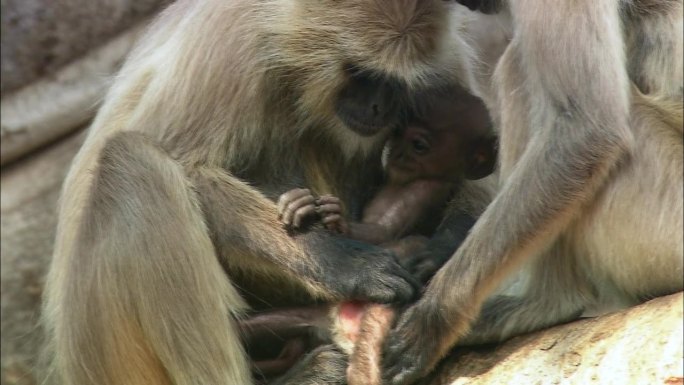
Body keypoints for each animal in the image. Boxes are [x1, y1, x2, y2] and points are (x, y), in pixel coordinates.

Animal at [276, 87, 494, 384]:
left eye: (419, 146)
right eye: (397, 132)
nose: (396, 153)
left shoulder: (425, 187)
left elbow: (383, 232)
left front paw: (336, 217)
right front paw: (301, 204)